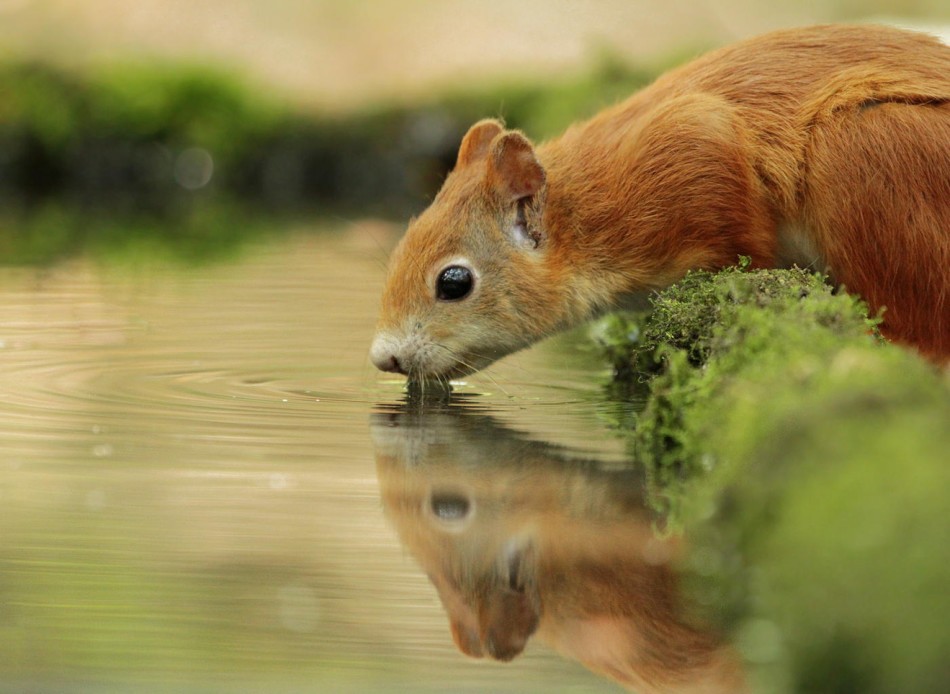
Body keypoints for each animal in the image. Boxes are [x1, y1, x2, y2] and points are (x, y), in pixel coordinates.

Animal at [372, 25, 950, 380]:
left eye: (454, 282)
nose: (385, 358)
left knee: (921, 333)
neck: (588, 217)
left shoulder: (694, 150)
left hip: (868, 150)